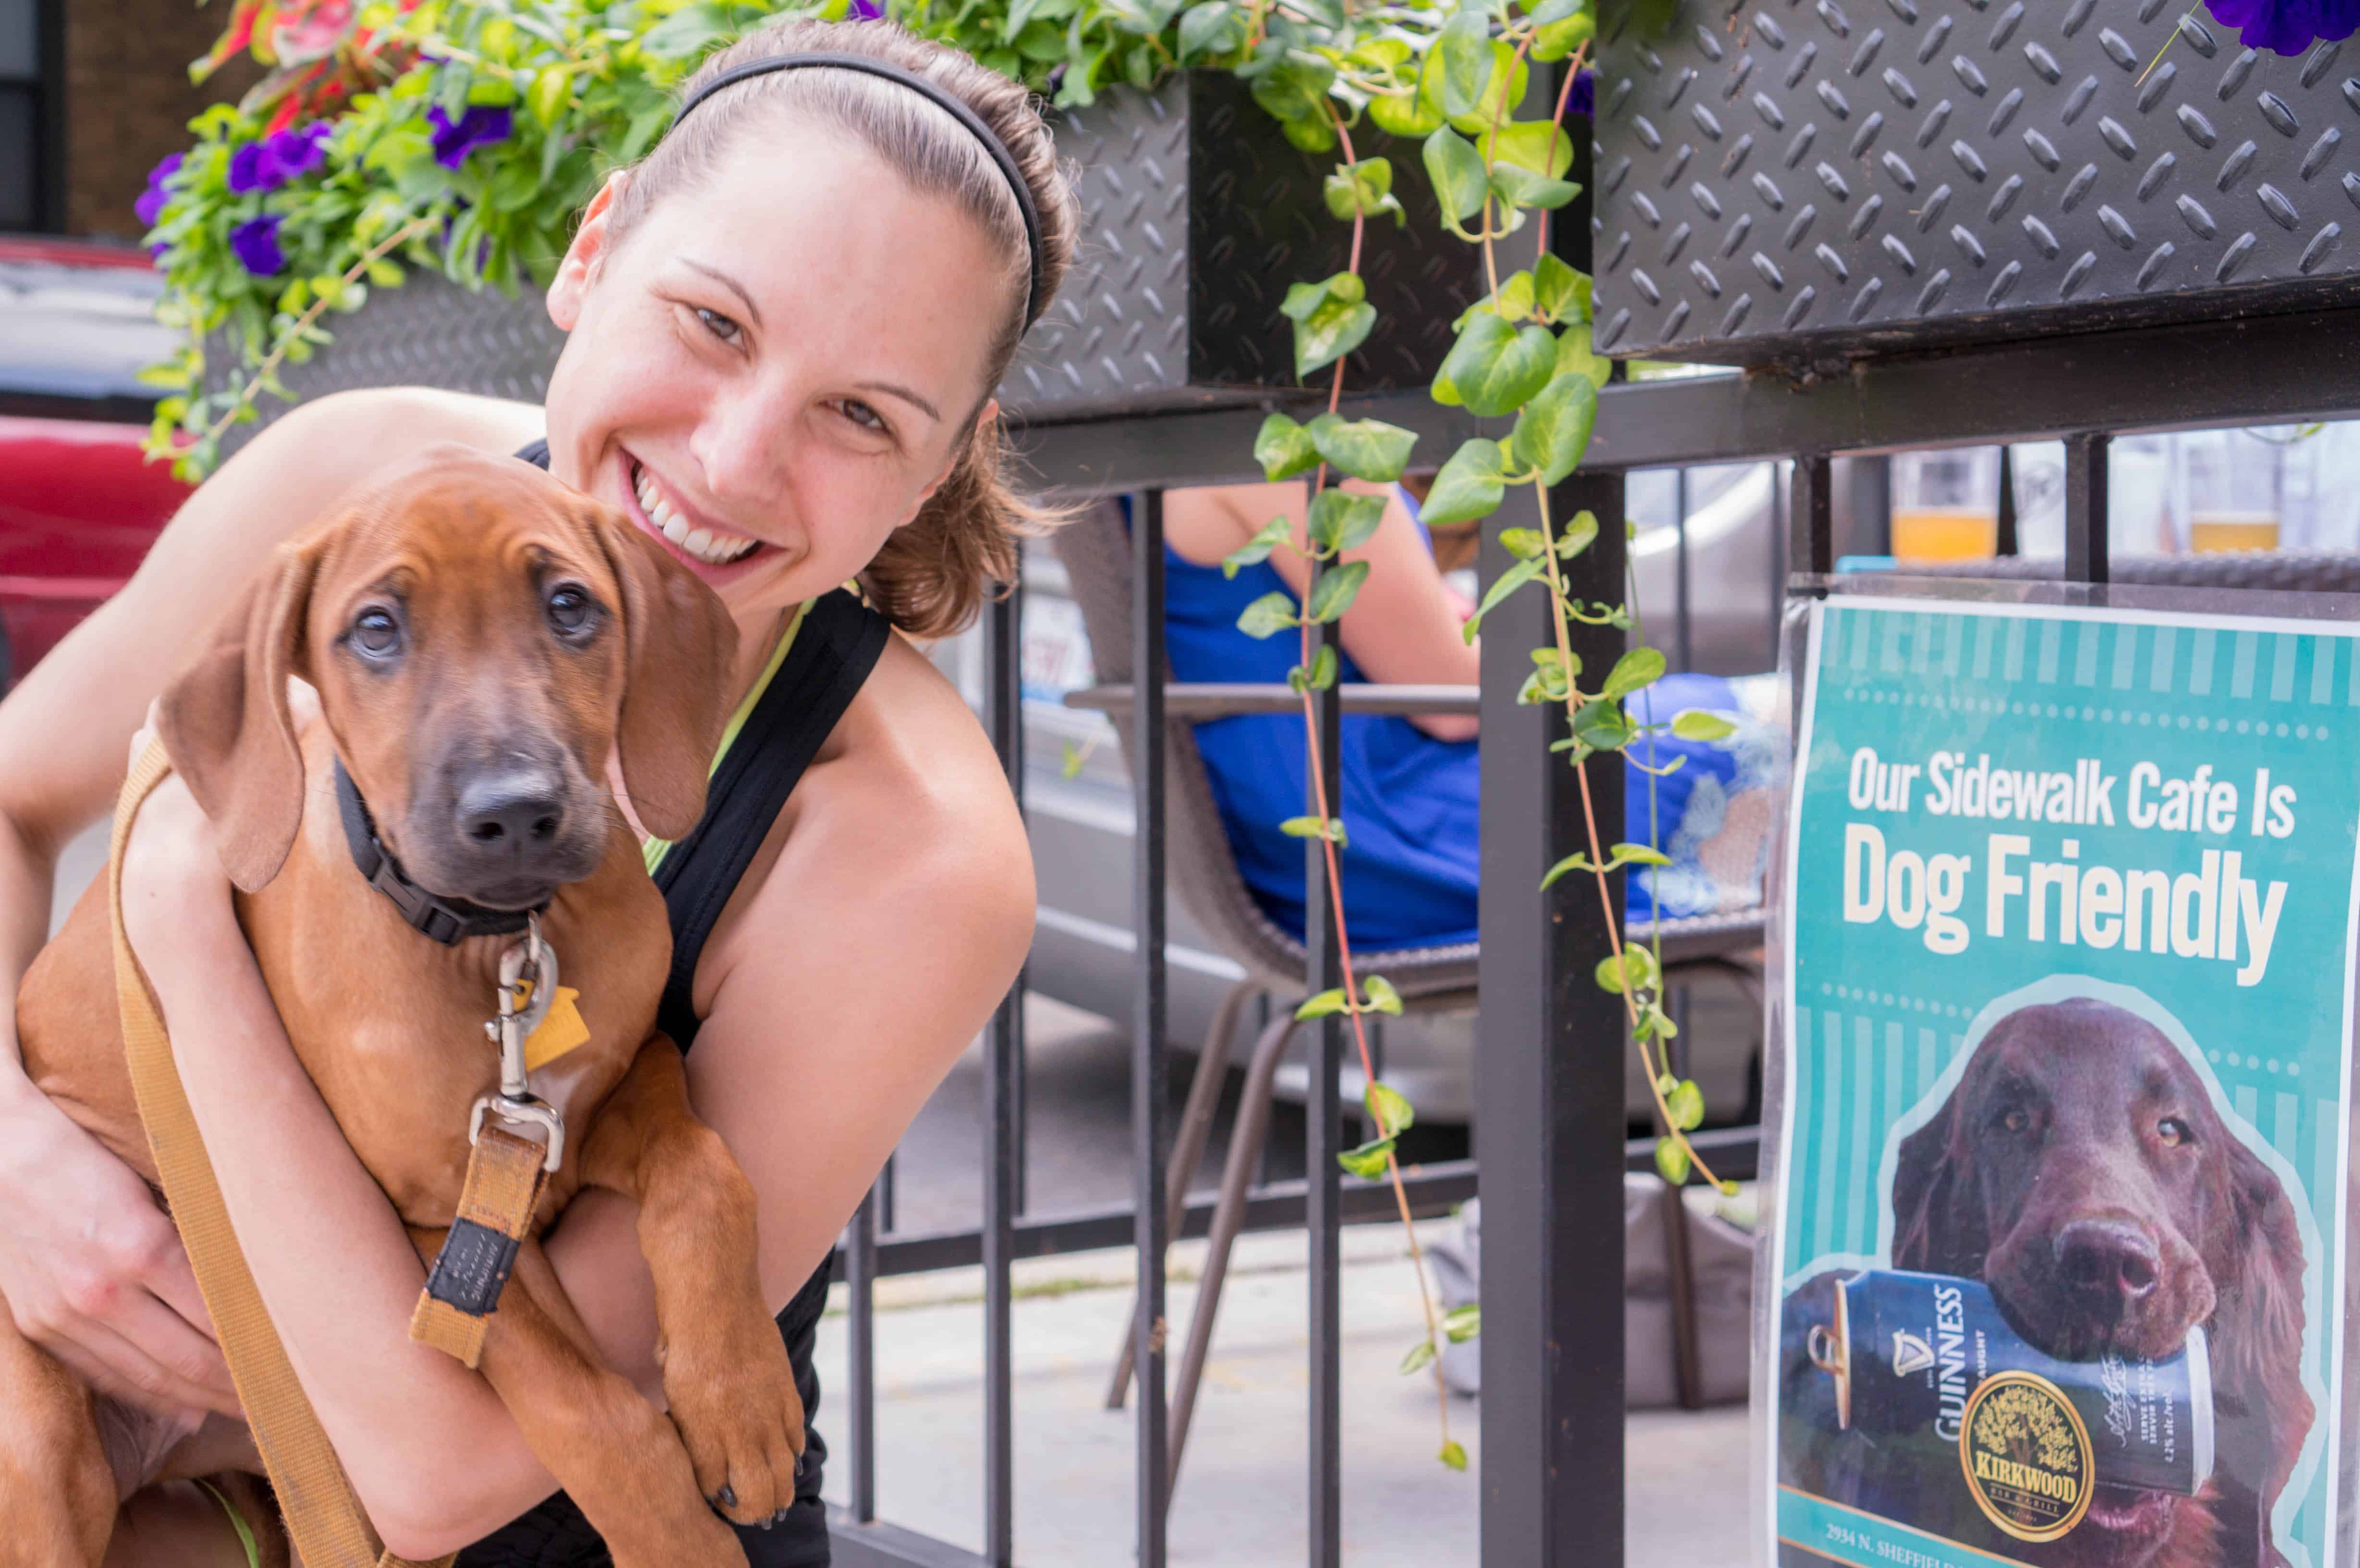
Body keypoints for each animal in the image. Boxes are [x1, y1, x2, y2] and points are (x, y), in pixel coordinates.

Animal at [7, 444, 802, 1568]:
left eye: (570, 606)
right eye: (376, 628)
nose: (514, 812)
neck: (496, 946)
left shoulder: (590, 1104)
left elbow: (705, 1170)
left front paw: (740, 1401)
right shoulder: (438, 1223)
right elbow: (594, 1415)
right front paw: (682, 1541)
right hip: (38, 1449)